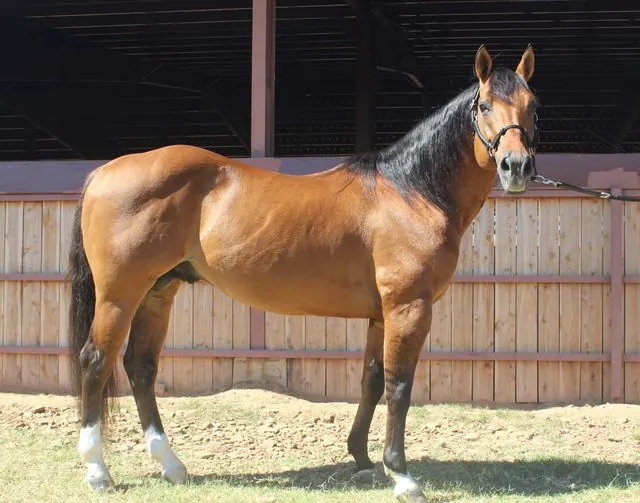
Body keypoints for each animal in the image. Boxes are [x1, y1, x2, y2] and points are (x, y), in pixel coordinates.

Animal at [68, 44, 539, 502]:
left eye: (533, 104)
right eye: (484, 105)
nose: (516, 166)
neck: (410, 191)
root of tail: (103, 172)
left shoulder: (380, 314)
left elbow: (371, 381)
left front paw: (362, 460)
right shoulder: (408, 308)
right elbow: (398, 386)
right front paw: (402, 476)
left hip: (157, 292)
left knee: (140, 366)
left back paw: (172, 466)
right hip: (119, 294)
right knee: (95, 361)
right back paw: (98, 472)